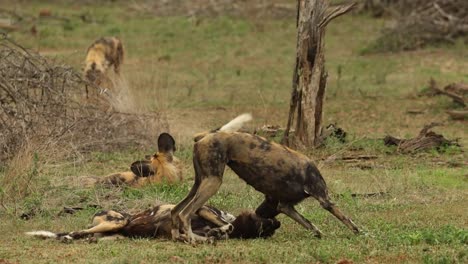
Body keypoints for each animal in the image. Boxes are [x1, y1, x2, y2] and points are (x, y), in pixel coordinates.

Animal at [170, 113, 360, 243]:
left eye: (268, 199)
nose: (257, 213)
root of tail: (208, 134)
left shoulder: (285, 206)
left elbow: (310, 225)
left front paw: (319, 235)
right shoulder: (325, 200)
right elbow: (347, 220)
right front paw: (360, 233)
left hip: (200, 183)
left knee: (176, 211)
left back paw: (178, 237)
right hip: (213, 183)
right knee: (185, 213)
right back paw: (192, 240)